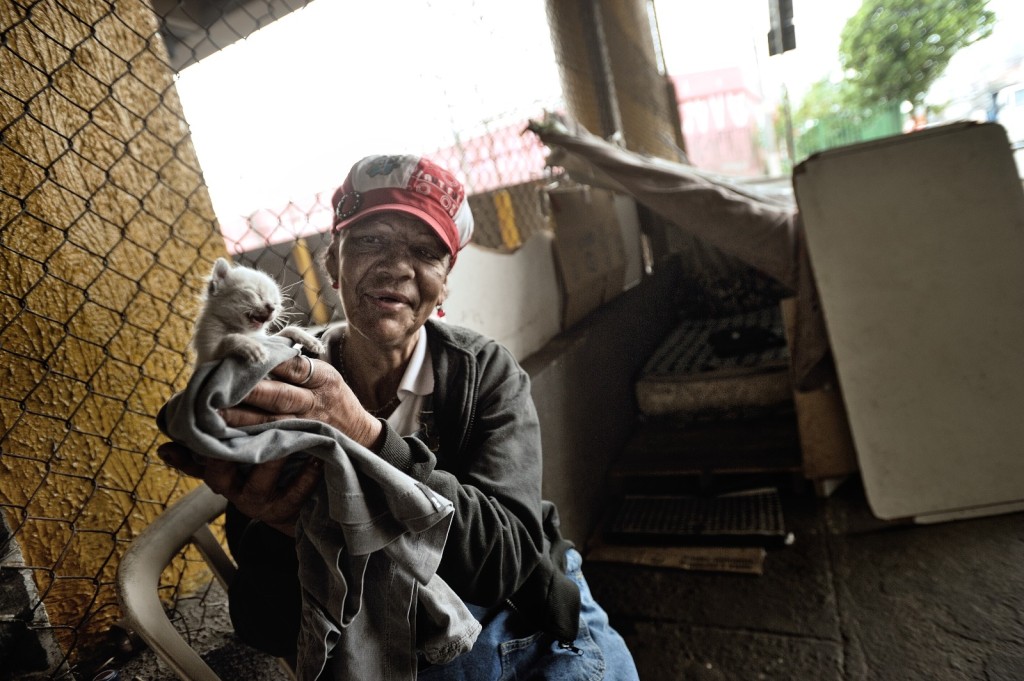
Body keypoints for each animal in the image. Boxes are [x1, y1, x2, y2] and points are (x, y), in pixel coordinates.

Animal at [190, 254, 321, 364]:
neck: (246, 332)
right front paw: (251, 346)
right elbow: (229, 339)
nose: (272, 307)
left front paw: (310, 340)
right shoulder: (208, 358)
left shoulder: (266, 338)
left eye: (276, 303)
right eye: (257, 295)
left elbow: (287, 330)